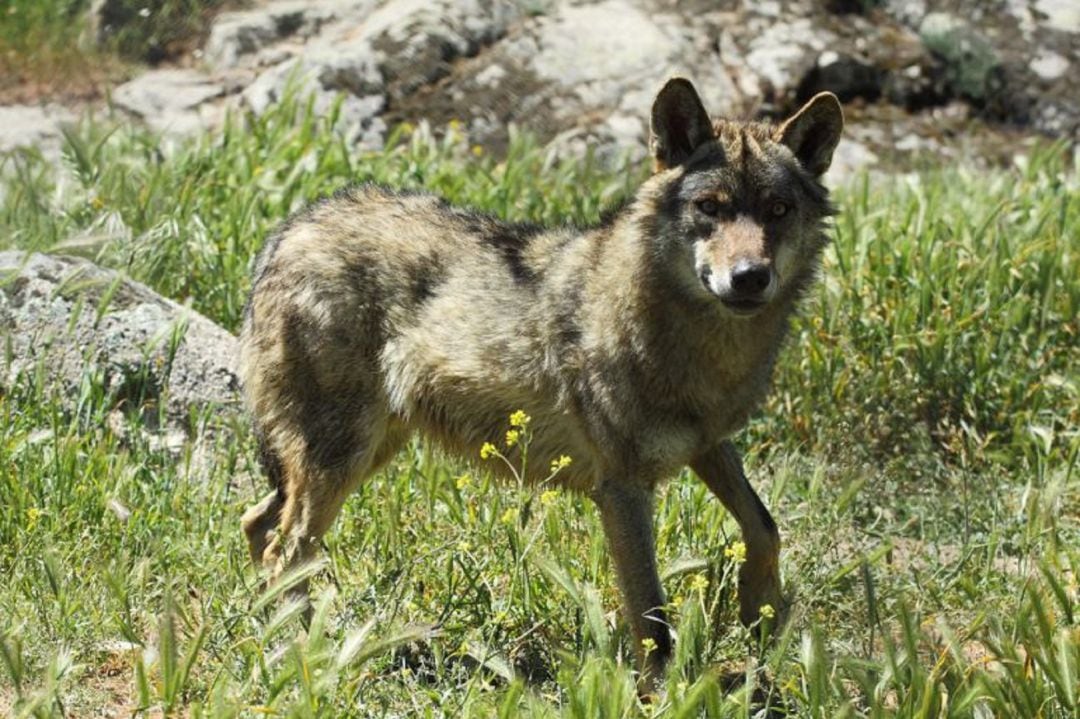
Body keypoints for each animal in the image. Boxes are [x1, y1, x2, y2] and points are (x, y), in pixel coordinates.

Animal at [238, 78, 842, 690]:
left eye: (778, 210)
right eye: (709, 208)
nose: (749, 278)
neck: (696, 348)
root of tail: (289, 229)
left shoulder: (709, 444)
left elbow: (764, 526)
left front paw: (759, 610)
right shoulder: (622, 488)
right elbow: (652, 615)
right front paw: (661, 694)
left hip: (365, 453)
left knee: (258, 527)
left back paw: (288, 639)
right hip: (340, 460)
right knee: (286, 552)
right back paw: (303, 655)